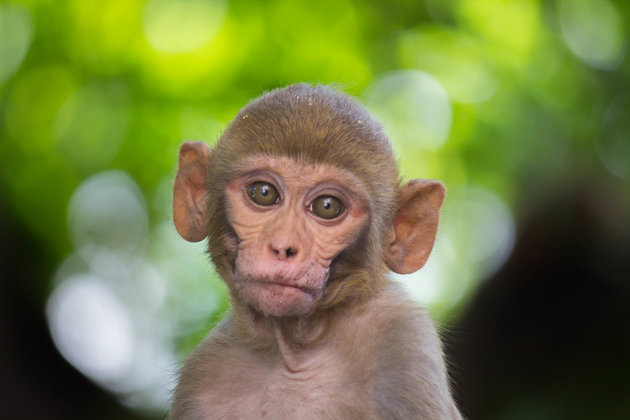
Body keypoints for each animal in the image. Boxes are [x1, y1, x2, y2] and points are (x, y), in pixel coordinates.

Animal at [170, 83, 462, 418]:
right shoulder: (203, 373)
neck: (293, 354)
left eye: (327, 206)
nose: (283, 247)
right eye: (263, 193)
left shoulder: (405, 347)